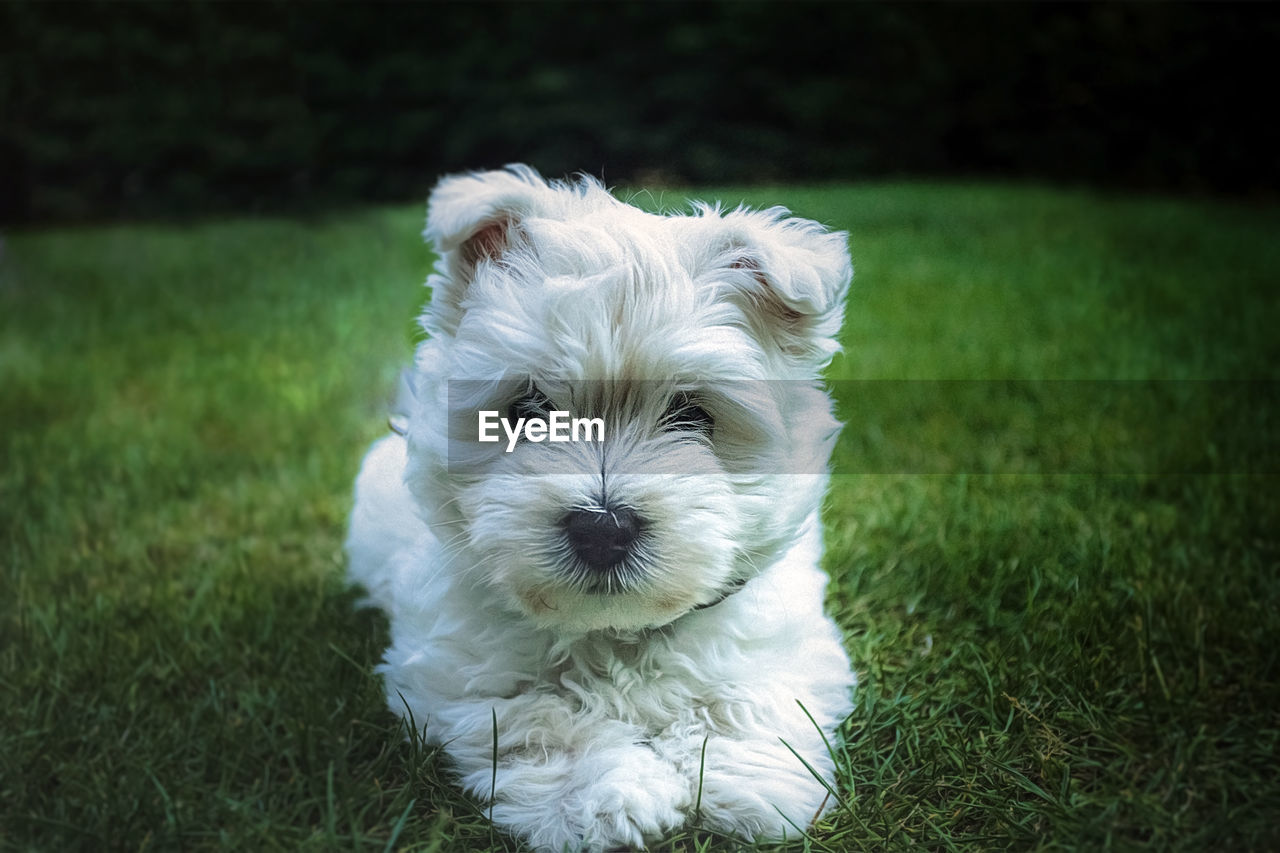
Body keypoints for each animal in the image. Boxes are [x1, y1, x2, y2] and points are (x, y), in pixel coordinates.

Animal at [345, 166, 855, 850]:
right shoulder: (465, 675)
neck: (614, 632)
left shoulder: (780, 634)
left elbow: (747, 695)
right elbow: (545, 721)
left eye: (693, 414)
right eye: (527, 409)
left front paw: (750, 789)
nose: (603, 528)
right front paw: (608, 799)